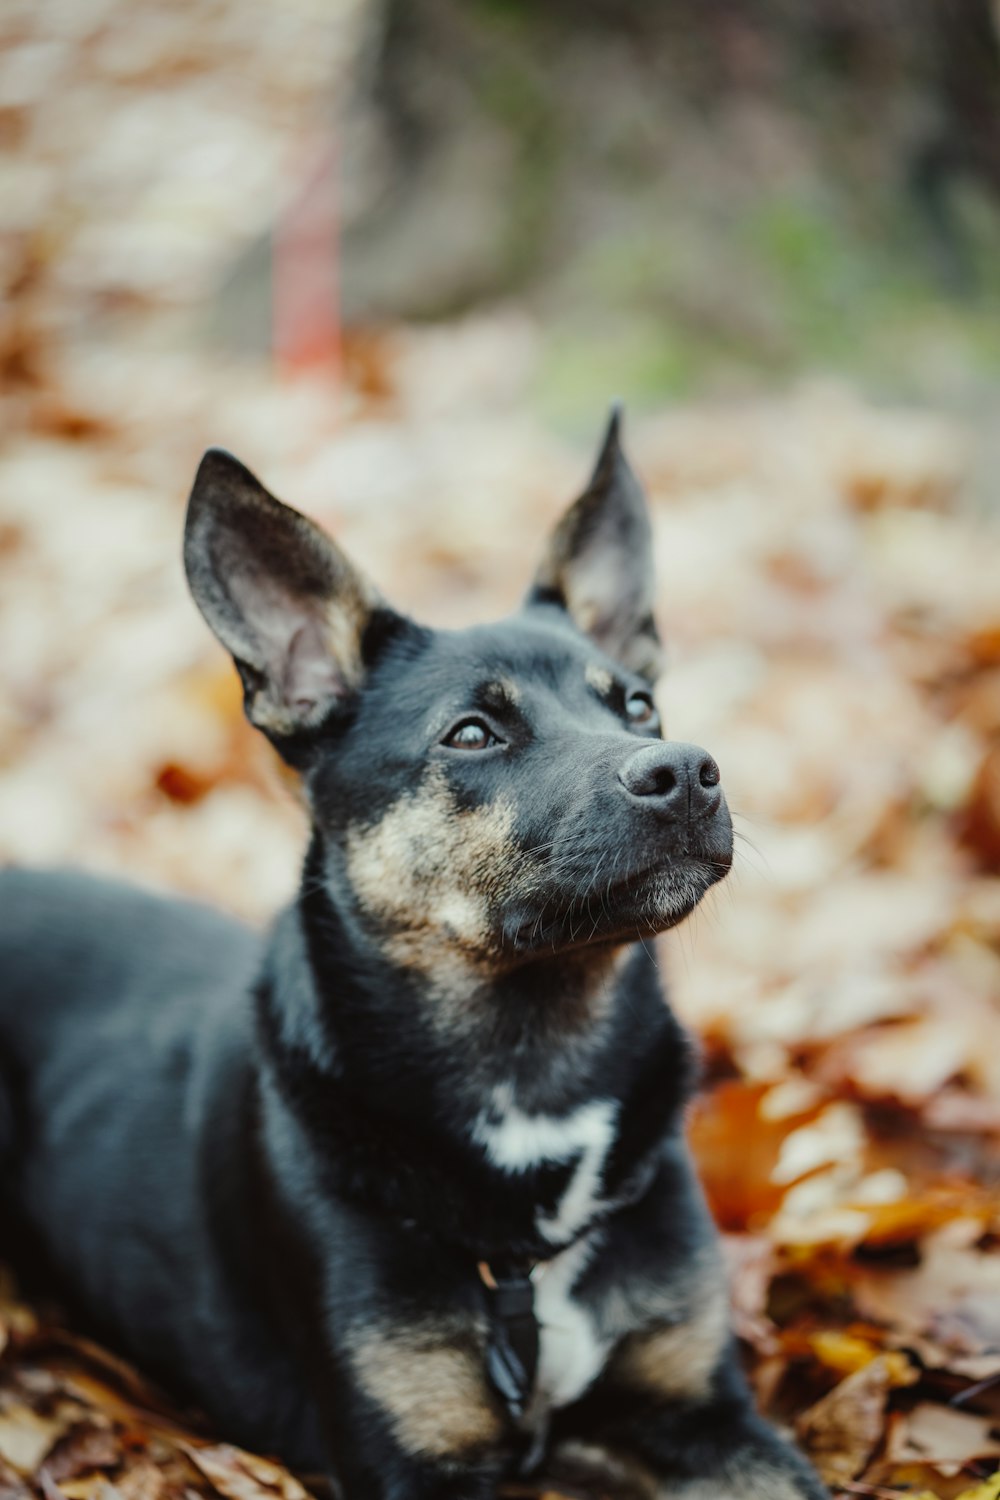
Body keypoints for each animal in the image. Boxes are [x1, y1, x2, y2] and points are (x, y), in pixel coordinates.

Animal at [0, 414, 827, 1500]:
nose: (687, 771)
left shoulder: (702, 1414)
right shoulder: (414, 1461)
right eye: (470, 733)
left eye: (640, 707)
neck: (528, 1058)